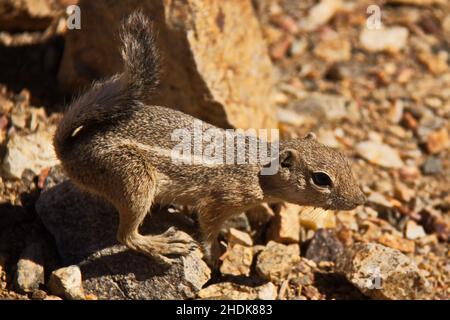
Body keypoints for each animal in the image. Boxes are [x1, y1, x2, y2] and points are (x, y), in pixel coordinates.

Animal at [54, 11, 368, 264]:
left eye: (344, 159)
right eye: (321, 179)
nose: (360, 200)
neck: (260, 169)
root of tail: (70, 150)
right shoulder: (221, 200)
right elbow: (207, 226)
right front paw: (214, 254)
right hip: (134, 181)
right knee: (126, 236)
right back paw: (162, 244)